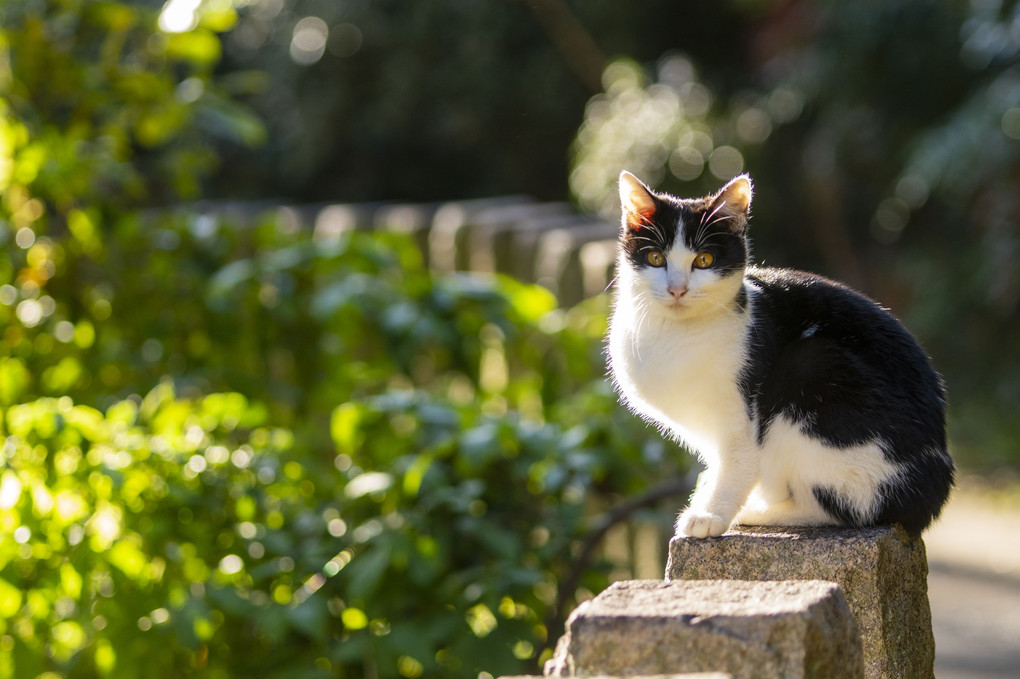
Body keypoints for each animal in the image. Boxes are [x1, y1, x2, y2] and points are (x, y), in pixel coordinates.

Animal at [607, 170, 950, 538]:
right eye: (656, 258)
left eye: (704, 261)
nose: (677, 289)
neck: (672, 336)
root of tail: (934, 490)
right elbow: (719, 464)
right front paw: (705, 494)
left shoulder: (742, 418)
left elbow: (739, 462)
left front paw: (710, 514)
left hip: (810, 368)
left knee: (846, 509)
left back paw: (758, 513)